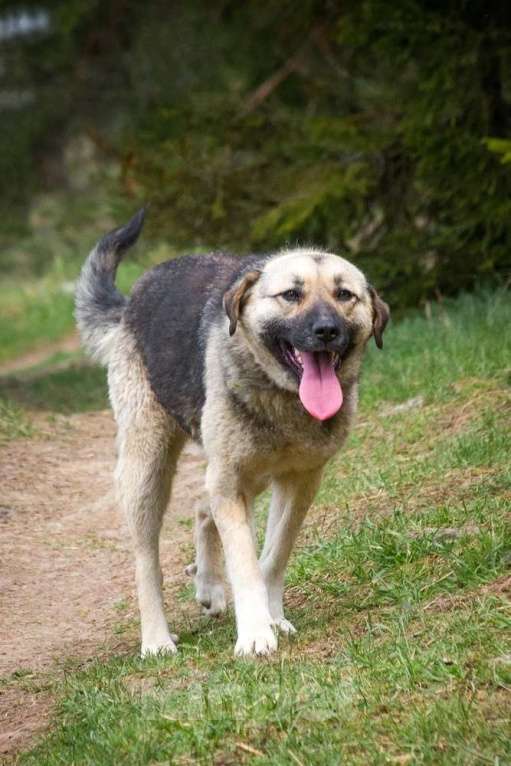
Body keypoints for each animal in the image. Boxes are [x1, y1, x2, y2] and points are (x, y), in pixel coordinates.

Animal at [75, 210, 388, 660]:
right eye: (291, 294)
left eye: (344, 294)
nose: (327, 330)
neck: (282, 398)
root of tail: (132, 301)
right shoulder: (233, 484)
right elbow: (245, 565)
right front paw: (255, 632)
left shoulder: (299, 481)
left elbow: (272, 556)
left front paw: (272, 616)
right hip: (148, 468)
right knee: (146, 561)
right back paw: (156, 639)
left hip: (237, 475)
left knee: (202, 507)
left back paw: (209, 585)